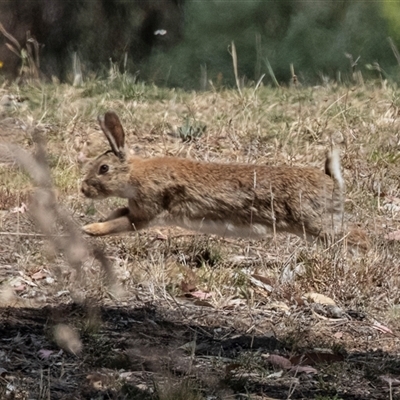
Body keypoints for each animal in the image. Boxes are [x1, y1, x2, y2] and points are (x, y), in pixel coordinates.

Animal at [80, 109, 344, 244]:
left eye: (103, 168)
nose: (83, 190)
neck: (133, 174)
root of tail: (331, 183)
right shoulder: (136, 207)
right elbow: (117, 213)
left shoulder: (147, 211)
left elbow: (119, 224)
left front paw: (90, 229)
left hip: (314, 222)